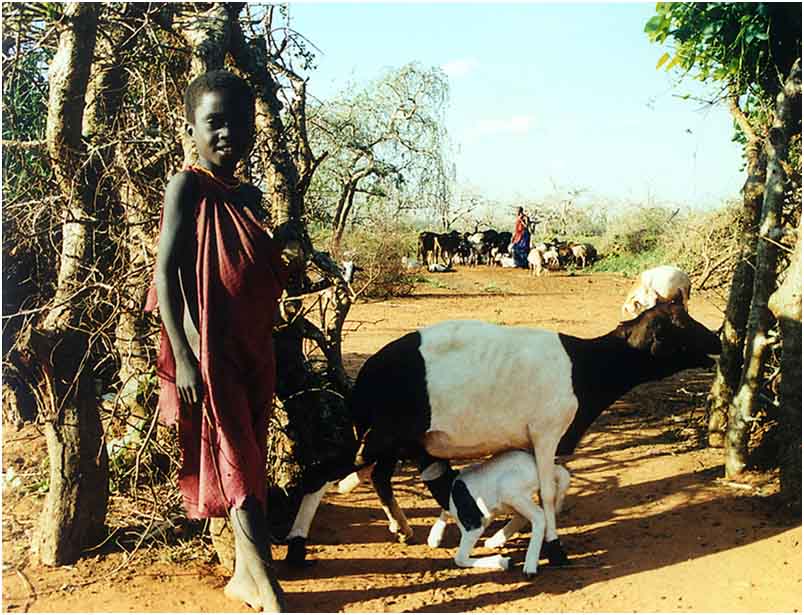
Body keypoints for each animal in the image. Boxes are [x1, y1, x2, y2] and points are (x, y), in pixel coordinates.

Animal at [288, 304, 724, 568]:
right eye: (682, 327)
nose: (719, 340)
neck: (584, 368)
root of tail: (365, 377)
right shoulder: (547, 432)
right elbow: (547, 490)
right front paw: (554, 548)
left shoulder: (539, 441)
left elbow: (557, 484)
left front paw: (500, 537)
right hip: (380, 435)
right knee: (319, 473)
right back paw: (296, 547)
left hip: (392, 438)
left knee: (378, 475)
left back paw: (403, 529)